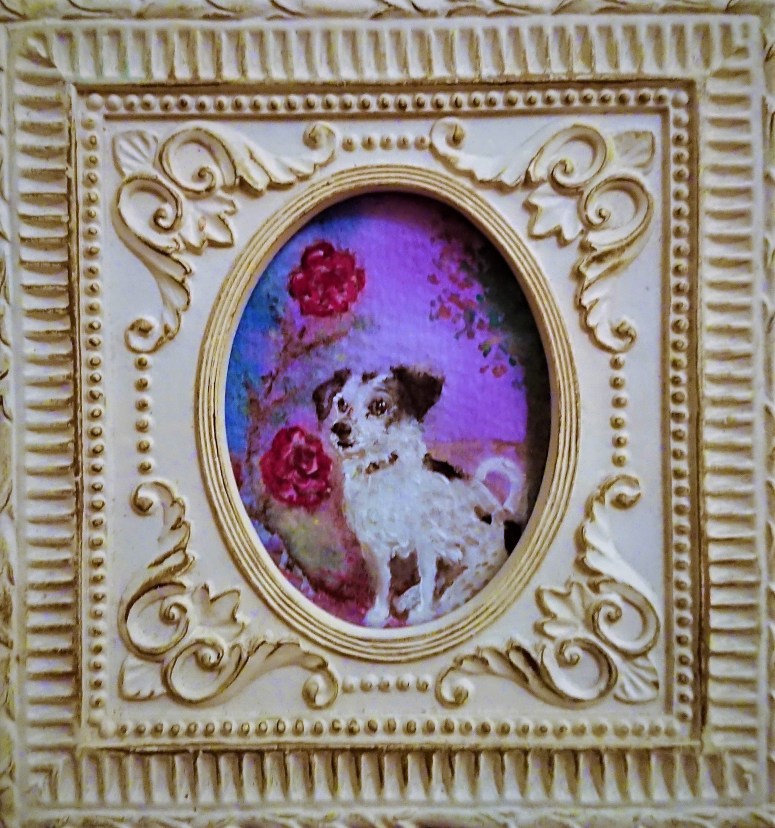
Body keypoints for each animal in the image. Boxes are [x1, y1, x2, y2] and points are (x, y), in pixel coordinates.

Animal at [313, 365, 528, 627]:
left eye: (379, 406)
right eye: (342, 403)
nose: (340, 429)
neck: (381, 471)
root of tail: (505, 516)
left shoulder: (426, 543)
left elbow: (426, 580)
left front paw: (422, 614)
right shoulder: (374, 546)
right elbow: (383, 583)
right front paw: (379, 614)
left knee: (445, 592)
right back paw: (408, 597)